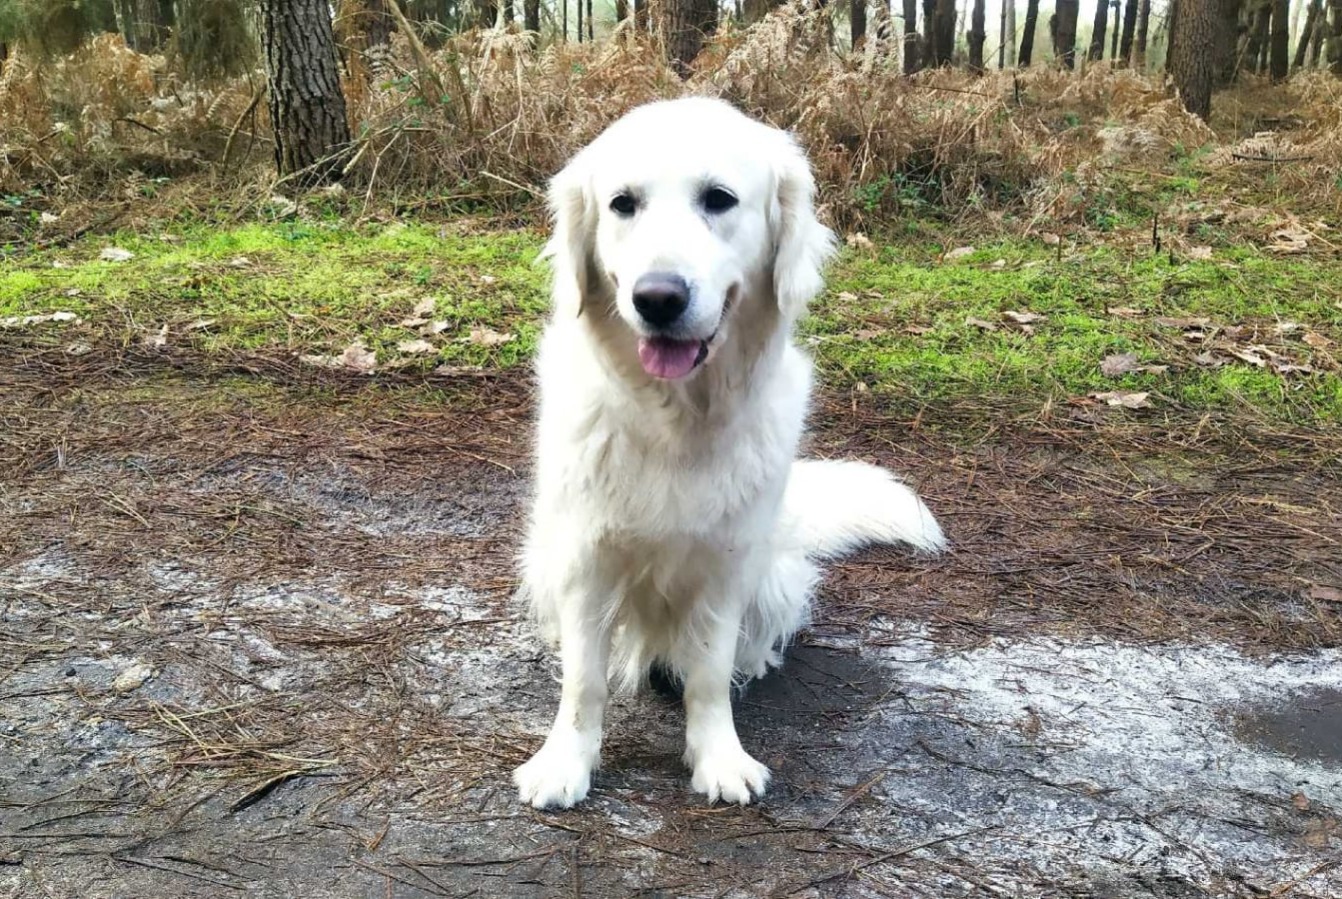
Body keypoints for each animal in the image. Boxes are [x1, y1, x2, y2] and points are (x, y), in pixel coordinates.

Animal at [512, 96, 944, 810]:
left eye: (719, 199)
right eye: (622, 204)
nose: (657, 298)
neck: (674, 417)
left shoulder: (726, 565)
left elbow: (709, 673)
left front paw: (719, 758)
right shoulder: (584, 560)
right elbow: (584, 682)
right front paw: (564, 763)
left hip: (776, 576)